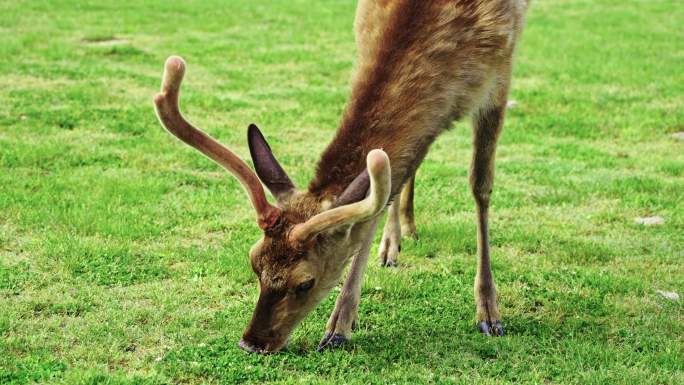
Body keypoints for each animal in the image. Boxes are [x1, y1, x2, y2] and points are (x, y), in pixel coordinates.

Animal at [154, 0, 528, 352]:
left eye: (305, 282)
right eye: (254, 261)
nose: (252, 342)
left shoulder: (500, 75)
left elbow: (480, 187)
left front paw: (489, 311)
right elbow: (377, 203)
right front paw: (339, 325)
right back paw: (396, 238)